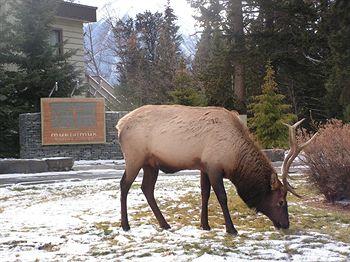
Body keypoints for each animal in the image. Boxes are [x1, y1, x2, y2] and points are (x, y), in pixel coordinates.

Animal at [116, 105, 316, 234]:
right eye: (281, 202)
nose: (286, 224)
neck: (234, 158)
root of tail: (119, 125)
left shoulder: (204, 166)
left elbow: (205, 194)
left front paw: (205, 225)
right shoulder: (214, 166)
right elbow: (221, 196)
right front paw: (231, 228)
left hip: (151, 164)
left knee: (146, 188)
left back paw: (164, 224)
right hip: (134, 158)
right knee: (124, 185)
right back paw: (125, 225)